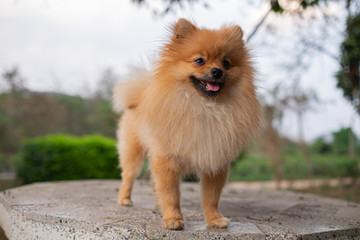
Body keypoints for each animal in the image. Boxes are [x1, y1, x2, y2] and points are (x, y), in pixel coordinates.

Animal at [112, 19, 262, 231]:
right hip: (135, 151)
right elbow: (171, 194)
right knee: (129, 175)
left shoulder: (214, 161)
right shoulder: (167, 160)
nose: (217, 71)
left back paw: (157, 204)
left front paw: (214, 219)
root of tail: (139, 98)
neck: (205, 107)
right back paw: (125, 199)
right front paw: (173, 219)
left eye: (226, 63)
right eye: (199, 60)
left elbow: (211, 197)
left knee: (153, 182)